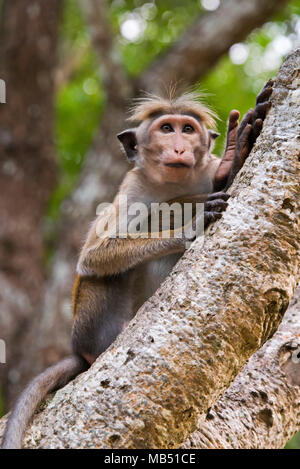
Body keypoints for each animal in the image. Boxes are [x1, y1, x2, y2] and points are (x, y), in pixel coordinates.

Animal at [1, 79, 274, 446]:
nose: (178, 148)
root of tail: (77, 347)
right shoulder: (131, 188)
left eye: (187, 129)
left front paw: (234, 152)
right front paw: (191, 224)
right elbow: (93, 256)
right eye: (166, 129)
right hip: (89, 322)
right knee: (112, 267)